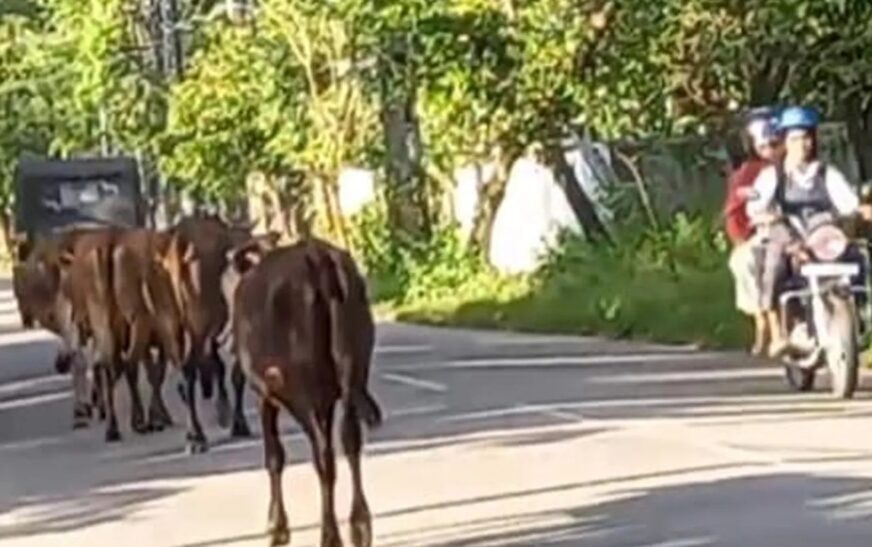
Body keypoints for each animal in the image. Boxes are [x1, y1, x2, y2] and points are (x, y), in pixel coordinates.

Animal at [232, 240, 382, 547]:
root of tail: (319, 256)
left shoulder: (265, 396)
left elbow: (274, 456)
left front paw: (277, 526)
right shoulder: (327, 400)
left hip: (304, 392)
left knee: (323, 456)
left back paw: (330, 535)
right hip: (352, 371)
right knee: (350, 440)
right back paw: (360, 526)